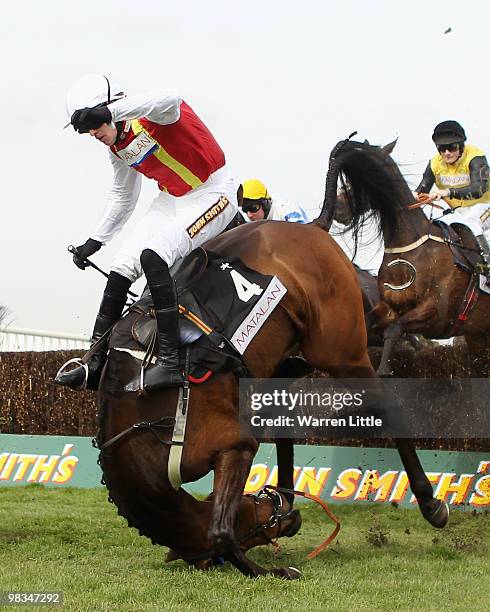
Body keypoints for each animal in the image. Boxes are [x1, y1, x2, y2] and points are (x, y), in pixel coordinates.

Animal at [94, 173, 448, 580]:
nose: (289, 522)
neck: (138, 422)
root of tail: (310, 227)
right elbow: (280, 430)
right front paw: (283, 501)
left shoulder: (232, 444)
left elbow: (219, 531)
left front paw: (272, 571)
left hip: (341, 349)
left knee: (387, 400)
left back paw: (430, 502)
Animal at [322, 139, 490, 376]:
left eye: (360, 173)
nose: (337, 208)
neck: (411, 247)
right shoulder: (388, 307)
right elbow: (367, 325)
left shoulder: (436, 314)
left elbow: (395, 330)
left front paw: (384, 370)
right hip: (479, 337)